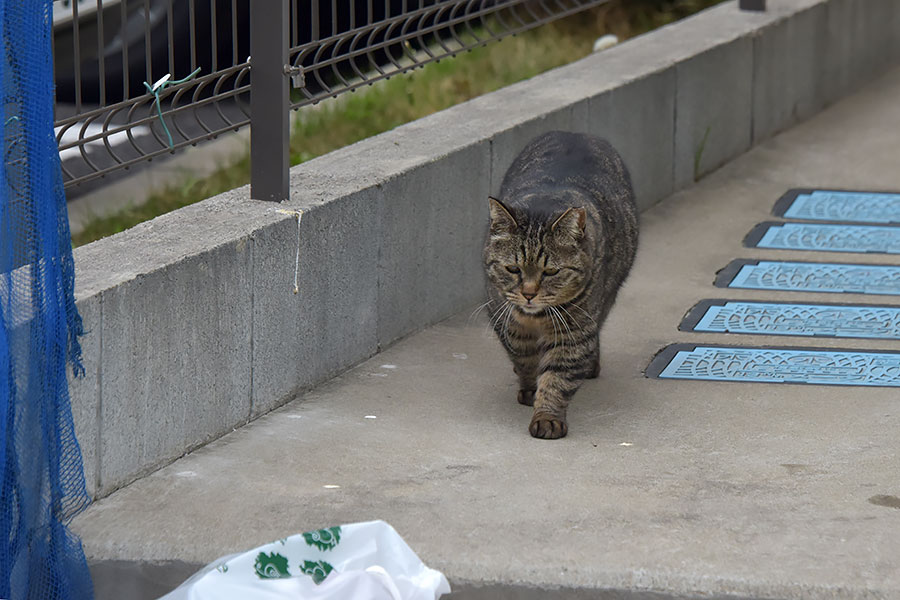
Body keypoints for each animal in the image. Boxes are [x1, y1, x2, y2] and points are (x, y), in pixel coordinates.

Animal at [482, 130, 636, 440]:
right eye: (513, 269)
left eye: (551, 271)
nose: (529, 294)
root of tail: (576, 133)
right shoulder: (503, 315)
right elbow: (523, 355)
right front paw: (529, 387)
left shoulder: (574, 331)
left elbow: (557, 377)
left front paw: (547, 417)